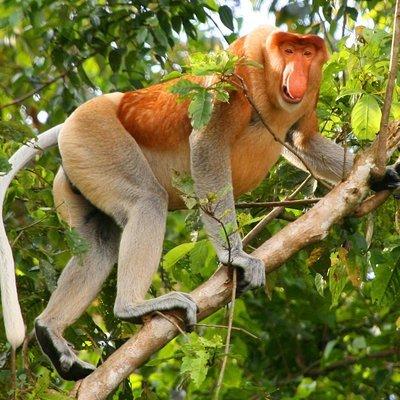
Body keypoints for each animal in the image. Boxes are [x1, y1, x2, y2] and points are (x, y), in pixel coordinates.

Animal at [0, 25, 400, 382]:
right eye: (288, 51)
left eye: (306, 53)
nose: (298, 72)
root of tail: (75, 119)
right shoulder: (236, 75)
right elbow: (208, 147)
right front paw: (235, 257)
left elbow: (303, 141)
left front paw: (383, 176)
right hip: (96, 137)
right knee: (147, 201)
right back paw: (132, 307)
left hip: (79, 167)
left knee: (98, 244)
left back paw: (50, 334)